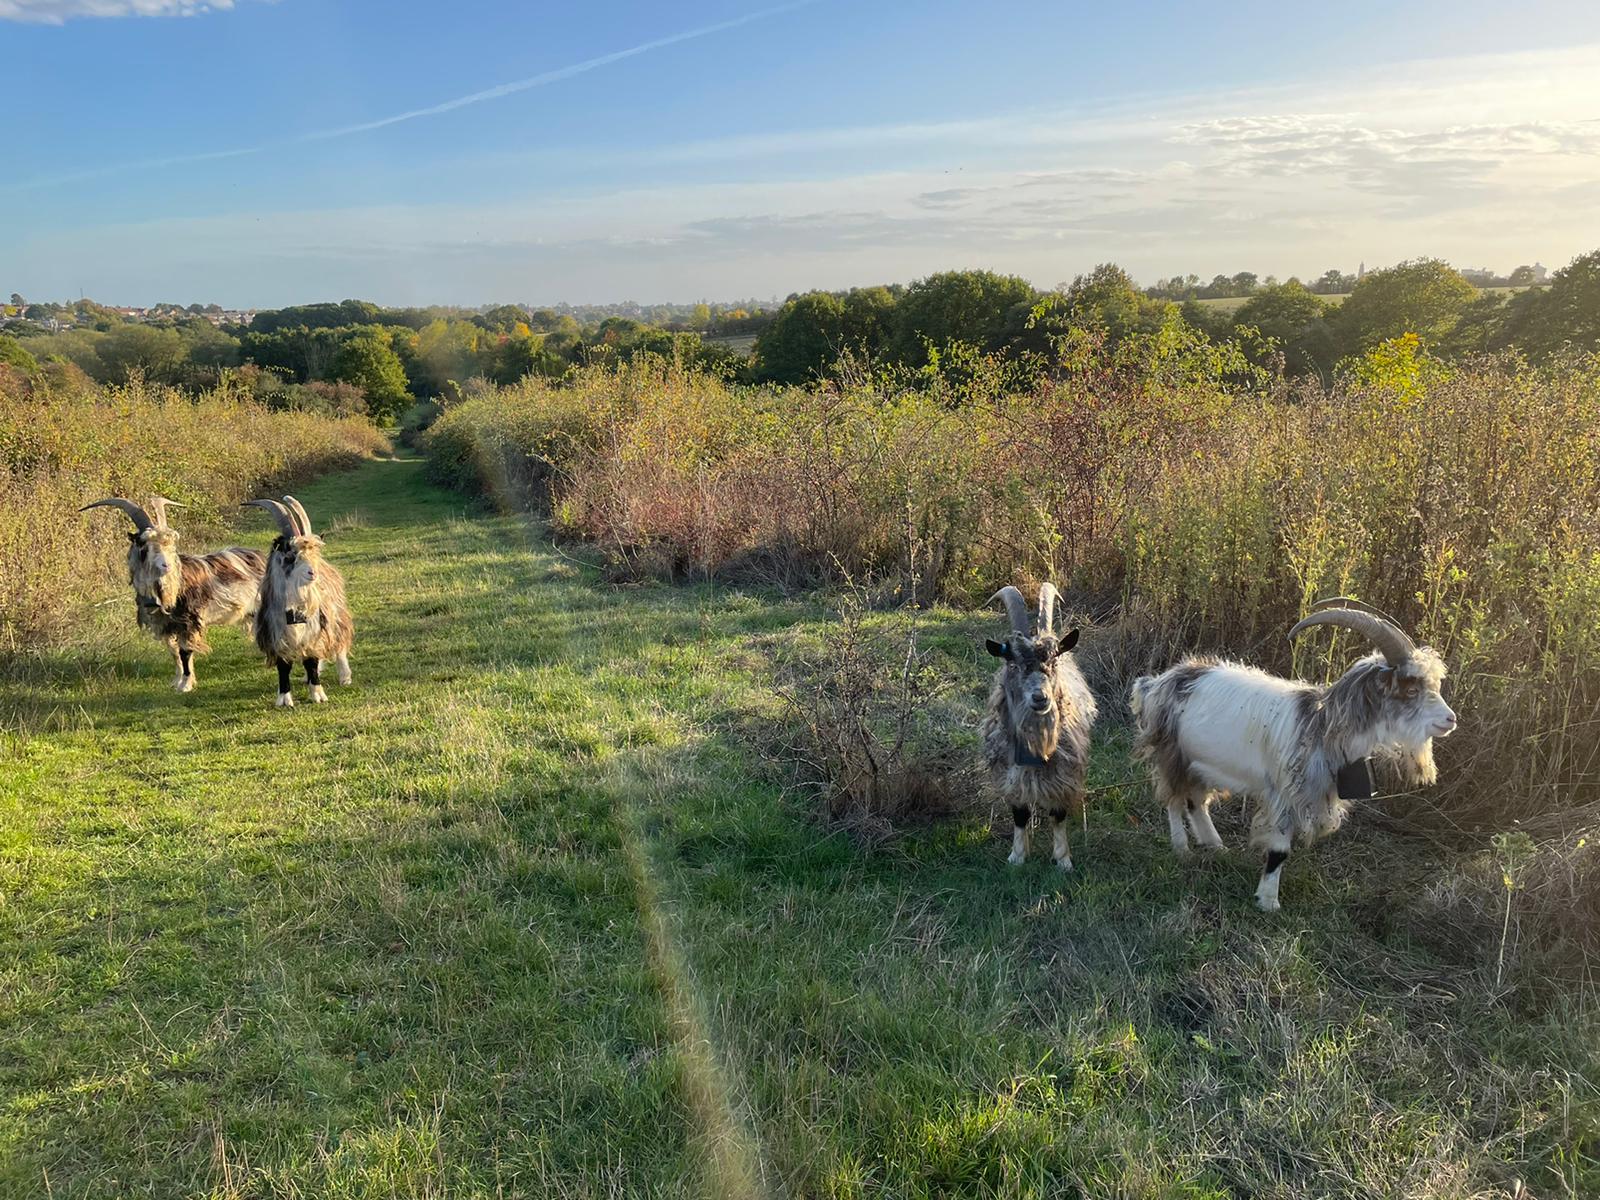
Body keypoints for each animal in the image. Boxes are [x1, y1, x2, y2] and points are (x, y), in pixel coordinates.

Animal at [82, 495, 264, 692]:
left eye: (171, 544)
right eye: (143, 544)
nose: (166, 565)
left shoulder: (188, 621)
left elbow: (185, 652)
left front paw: (185, 684)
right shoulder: (166, 624)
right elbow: (173, 651)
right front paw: (177, 680)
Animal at [243, 495, 354, 708]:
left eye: (312, 554)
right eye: (290, 556)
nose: (313, 573)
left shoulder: (314, 631)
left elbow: (311, 661)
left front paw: (317, 694)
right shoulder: (276, 635)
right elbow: (283, 666)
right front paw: (284, 698)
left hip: (336, 615)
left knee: (339, 643)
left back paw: (344, 676)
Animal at [979, 583, 1098, 869]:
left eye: (1053, 662)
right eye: (1012, 664)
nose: (1040, 697)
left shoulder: (1063, 772)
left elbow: (1058, 813)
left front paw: (1063, 860)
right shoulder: (1011, 774)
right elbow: (1020, 813)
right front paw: (1017, 856)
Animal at [1130, 599, 1457, 911]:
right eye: (1411, 689)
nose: (1450, 720)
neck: (1322, 727)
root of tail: (1158, 682)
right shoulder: (1285, 793)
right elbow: (1279, 850)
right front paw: (1268, 901)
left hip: (1202, 761)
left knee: (1195, 801)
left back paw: (1215, 846)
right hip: (1173, 752)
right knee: (1174, 798)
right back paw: (1182, 849)